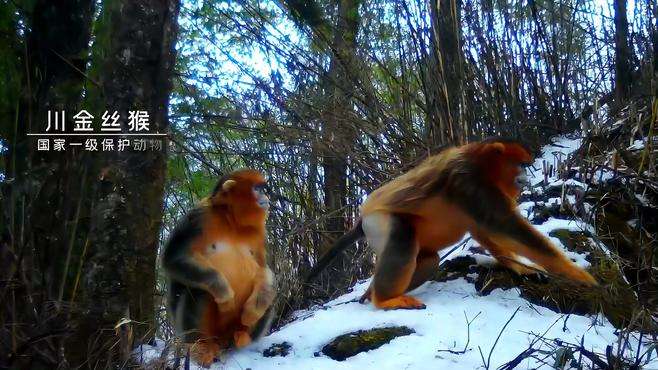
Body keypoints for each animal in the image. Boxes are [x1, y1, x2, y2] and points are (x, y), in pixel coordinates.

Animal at [164, 169, 276, 366]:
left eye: (263, 189)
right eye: (257, 189)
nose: (266, 196)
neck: (231, 221)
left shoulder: (259, 232)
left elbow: (263, 269)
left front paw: (252, 311)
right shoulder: (199, 215)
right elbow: (173, 258)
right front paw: (225, 295)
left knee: (267, 294)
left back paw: (243, 335)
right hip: (197, 332)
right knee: (198, 290)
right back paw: (201, 348)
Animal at [304, 138, 596, 310]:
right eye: (520, 164)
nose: (526, 175)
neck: (480, 162)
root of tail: (363, 218)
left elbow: (484, 229)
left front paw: (517, 266)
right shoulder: (470, 183)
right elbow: (502, 225)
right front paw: (578, 275)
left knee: (429, 259)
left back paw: (372, 292)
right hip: (379, 222)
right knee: (402, 239)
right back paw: (385, 299)